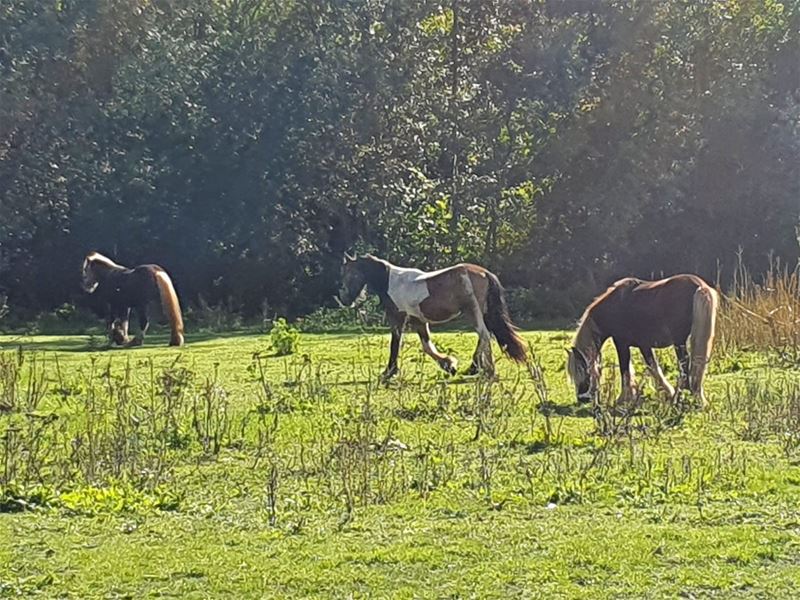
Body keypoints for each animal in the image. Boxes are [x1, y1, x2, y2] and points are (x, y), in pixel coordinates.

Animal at [336, 253, 524, 380]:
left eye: (349, 274)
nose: (345, 300)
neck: (392, 282)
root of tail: (484, 273)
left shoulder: (398, 317)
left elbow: (395, 344)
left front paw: (388, 372)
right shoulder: (419, 321)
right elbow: (427, 346)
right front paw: (449, 365)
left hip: (473, 312)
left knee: (484, 335)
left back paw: (488, 371)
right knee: (486, 335)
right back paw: (475, 369)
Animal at [564, 276, 720, 408]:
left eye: (582, 371)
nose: (582, 399)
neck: (614, 305)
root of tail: (700, 286)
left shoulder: (621, 343)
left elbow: (625, 370)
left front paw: (623, 399)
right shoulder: (643, 345)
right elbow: (653, 367)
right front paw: (665, 392)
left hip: (679, 341)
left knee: (685, 364)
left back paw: (681, 397)